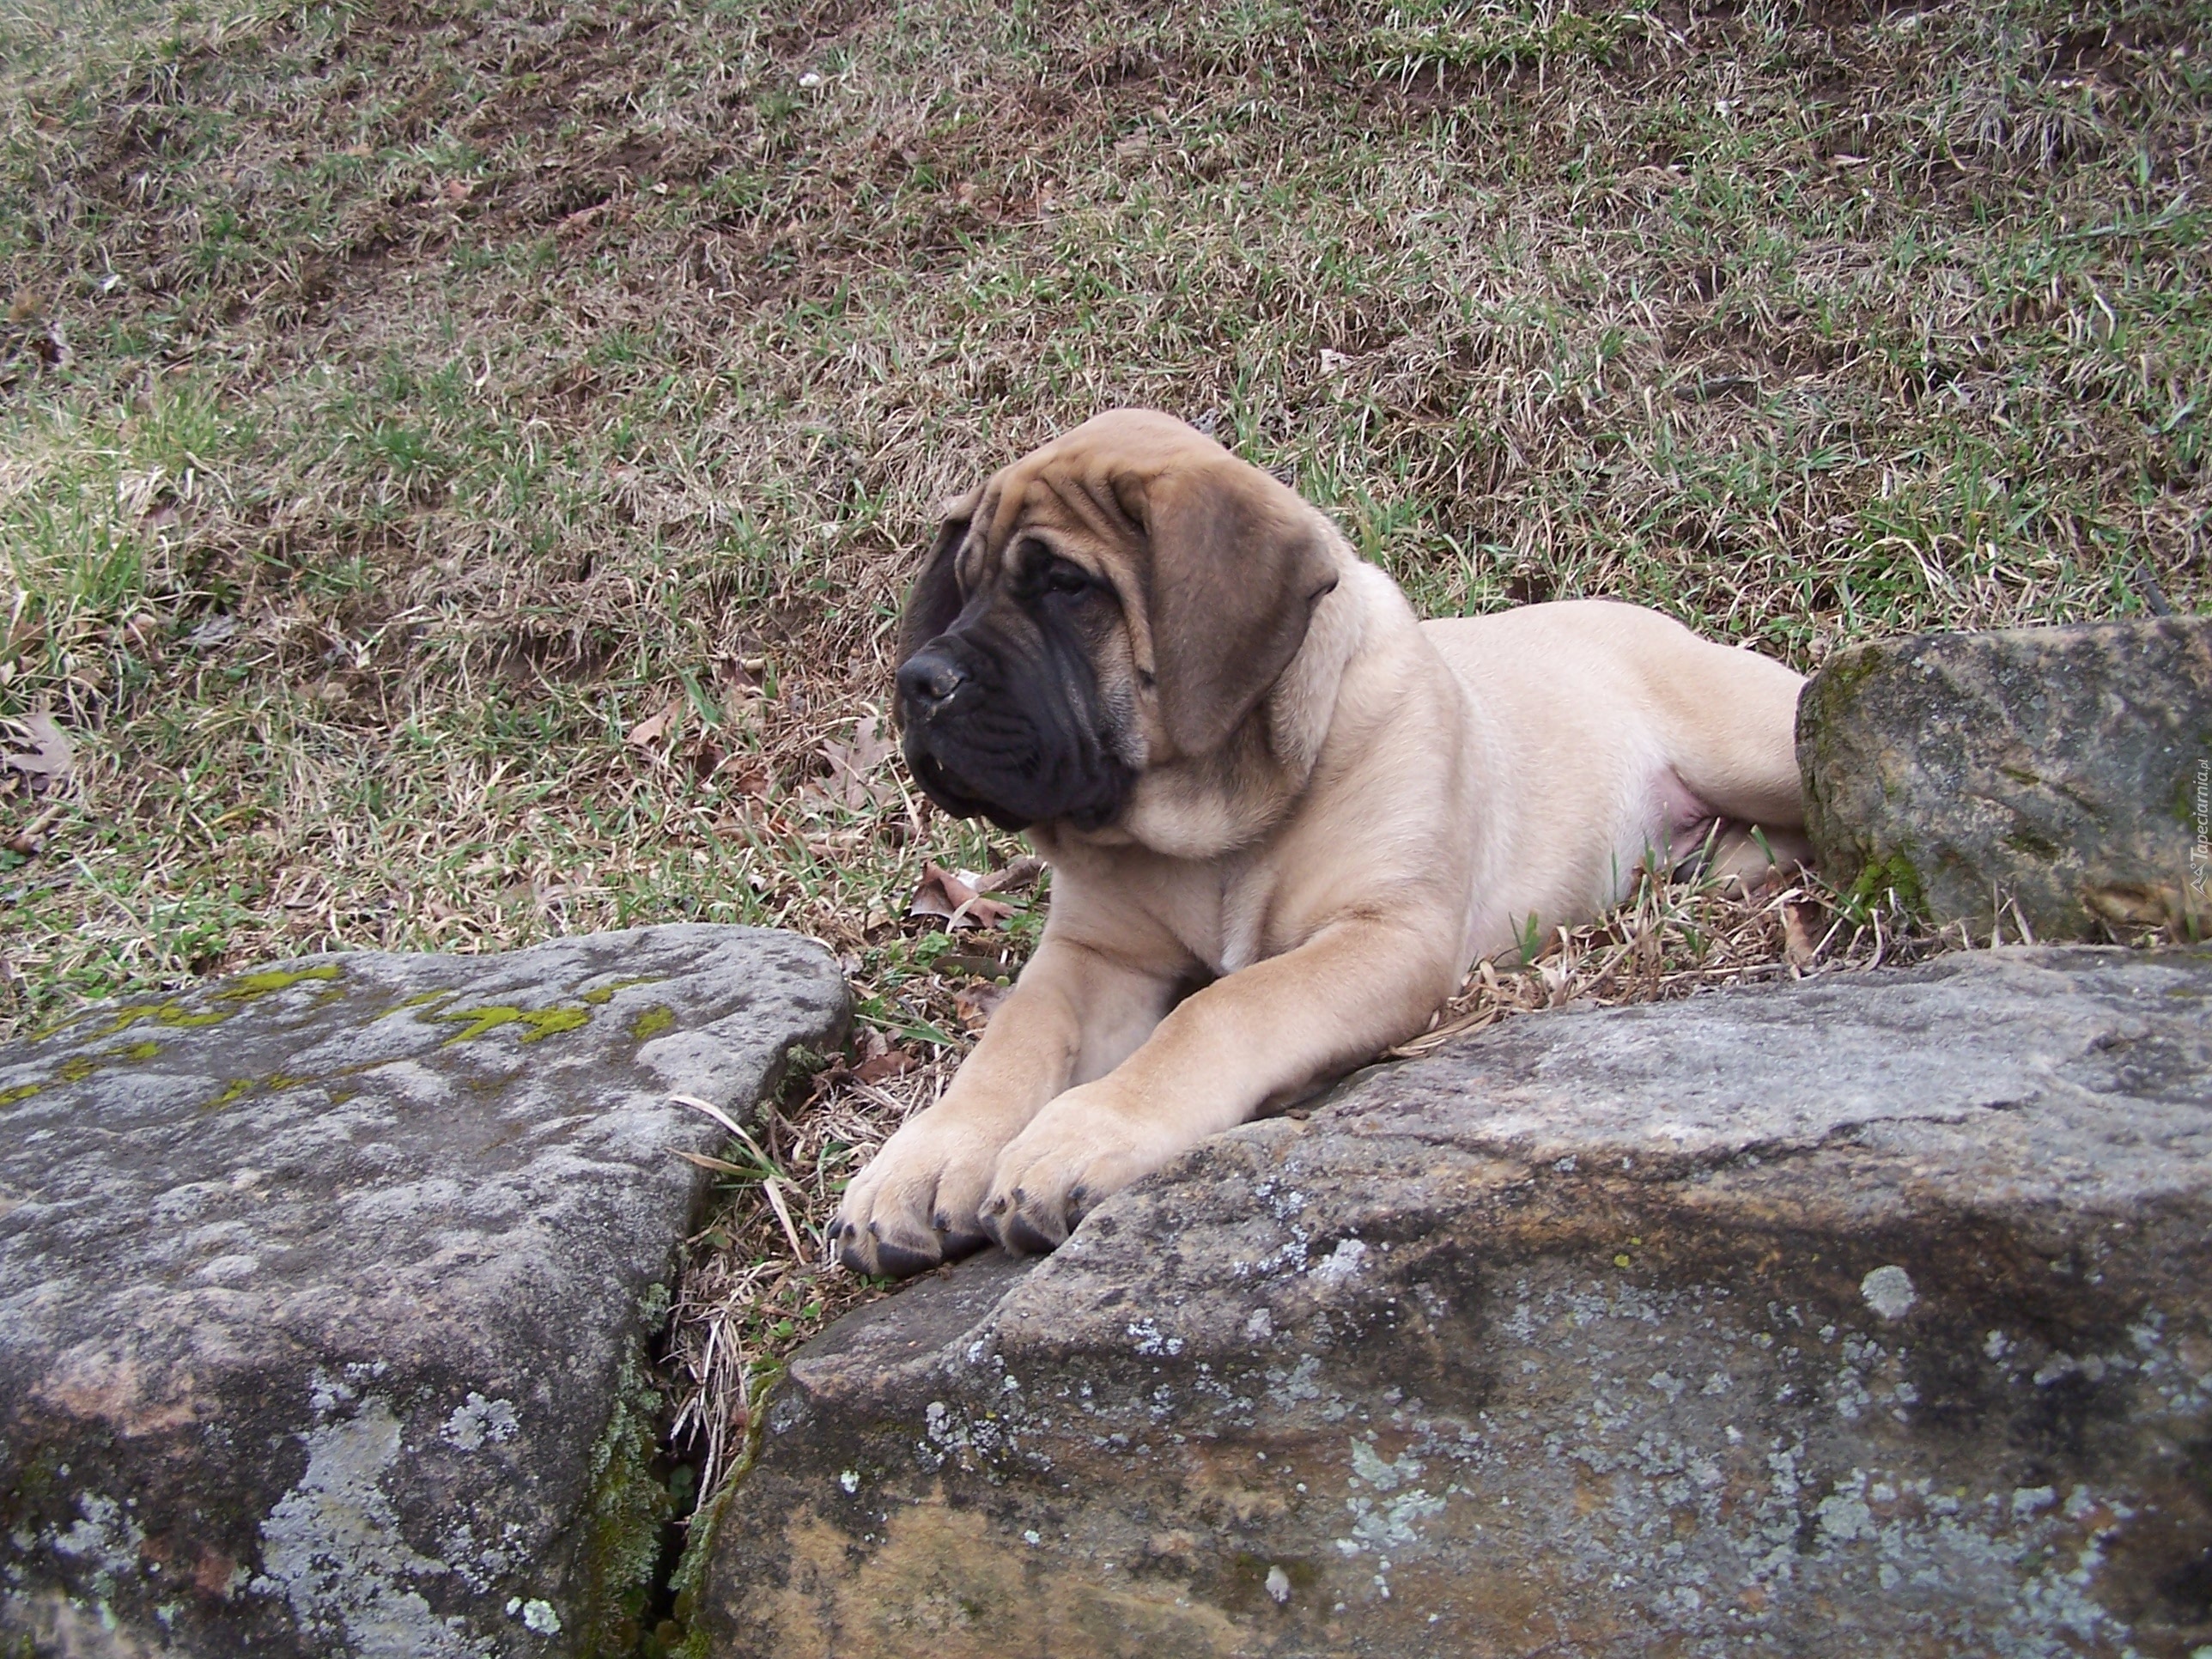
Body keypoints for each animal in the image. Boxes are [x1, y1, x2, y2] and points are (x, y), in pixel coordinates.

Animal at [836, 409, 1805, 1283]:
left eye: (1068, 587)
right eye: (964, 588)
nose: (918, 681)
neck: (1213, 821)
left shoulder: (1387, 934)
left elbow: (1224, 1007)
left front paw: (1085, 1130)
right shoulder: (1096, 954)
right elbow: (1014, 1037)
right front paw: (921, 1163)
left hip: (1753, 742)